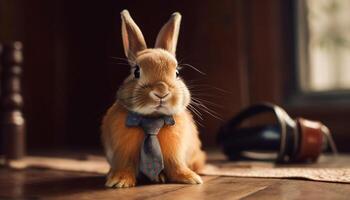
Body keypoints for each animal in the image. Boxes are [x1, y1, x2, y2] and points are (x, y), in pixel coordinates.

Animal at [100, 9, 205, 188]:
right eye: (136, 72)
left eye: (177, 73)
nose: (161, 91)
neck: (152, 120)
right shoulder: (123, 152)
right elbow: (124, 164)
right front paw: (118, 181)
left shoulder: (175, 152)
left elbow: (176, 164)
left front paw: (190, 178)